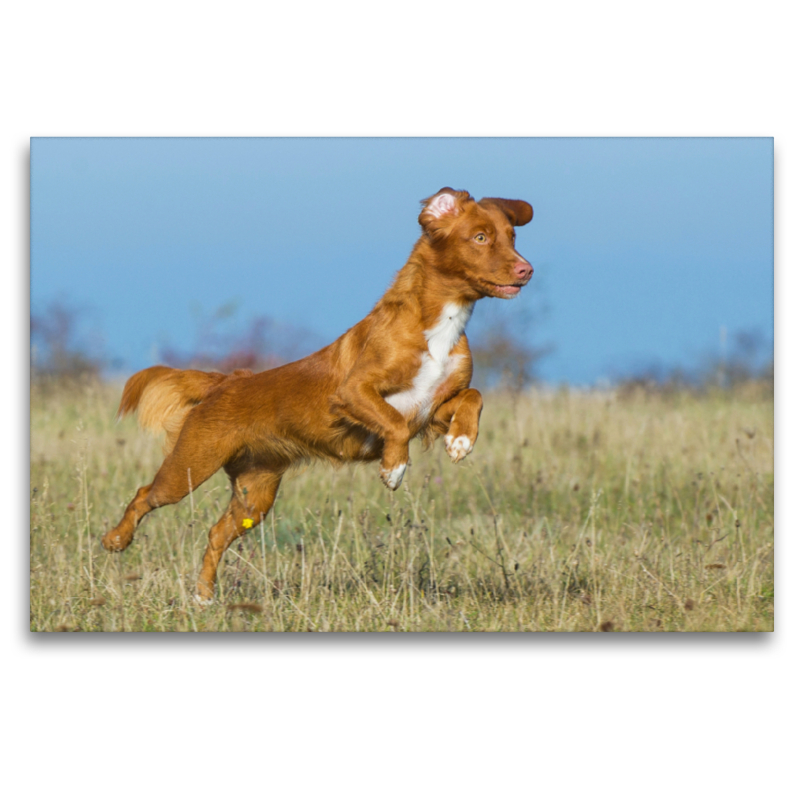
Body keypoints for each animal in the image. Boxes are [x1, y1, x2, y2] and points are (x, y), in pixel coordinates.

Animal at [103, 188, 536, 600]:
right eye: (480, 237)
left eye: (512, 236)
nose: (526, 269)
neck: (440, 324)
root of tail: (225, 382)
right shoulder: (353, 392)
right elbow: (393, 423)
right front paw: (393, 468)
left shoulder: (431, 409)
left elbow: (473, 396)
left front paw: (461, 440)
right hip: (190, 465)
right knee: (144, 494)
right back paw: (116, 540)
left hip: (255, 494)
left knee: (215, 534)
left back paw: (204, 597)